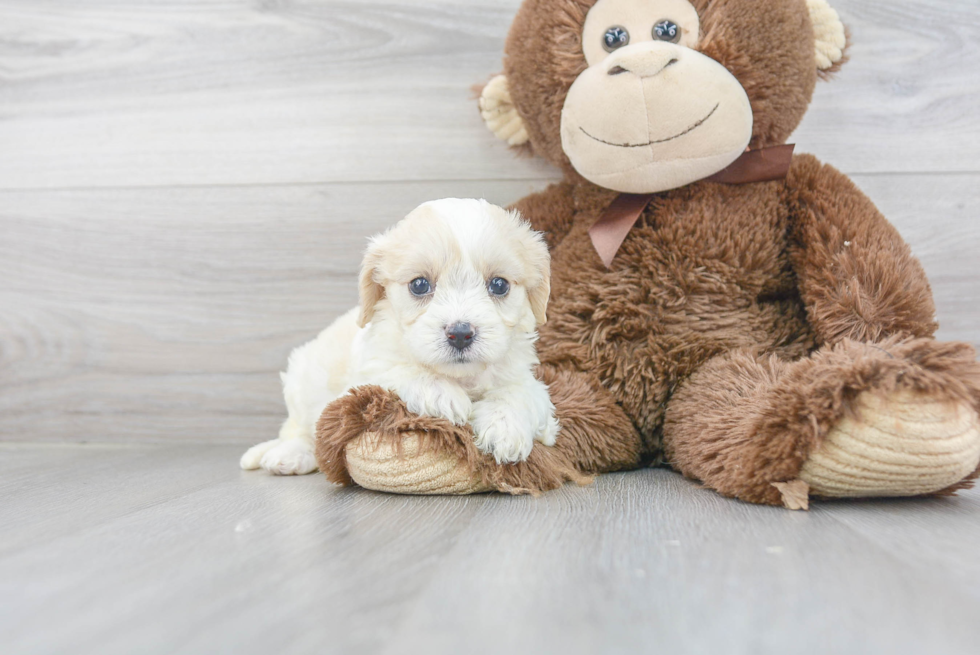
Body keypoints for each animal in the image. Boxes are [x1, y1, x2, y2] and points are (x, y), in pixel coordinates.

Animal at [239, 200, 560, 476]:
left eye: (499, 285)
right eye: (419, 285)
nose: (460, 333)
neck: (461, 377)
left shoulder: (525, 379)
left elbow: (522, 393)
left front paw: (505, 428)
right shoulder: (366, 374)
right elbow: (398, 371)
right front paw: (442, 395)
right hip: (303, 380)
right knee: (300, 429)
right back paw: (289, 455)